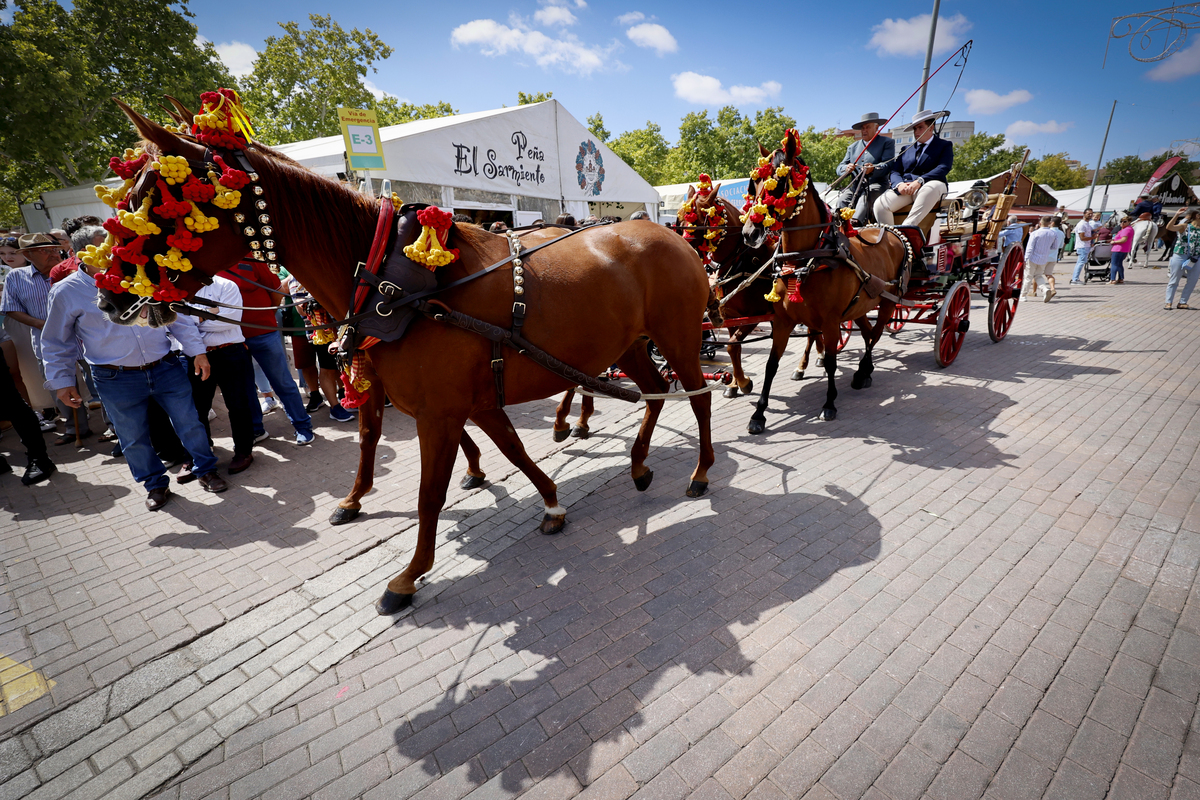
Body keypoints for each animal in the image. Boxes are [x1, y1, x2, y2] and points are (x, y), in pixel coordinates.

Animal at [105, 100, 710, 614]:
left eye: (156, 200)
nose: (110, 296)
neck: (391, 281)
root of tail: (668, 232)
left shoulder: (440, 411)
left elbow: (428, 495)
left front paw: (407, 576)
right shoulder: (455, 398)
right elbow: (499, 448)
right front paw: (549, 501)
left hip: (678, 337)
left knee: (697, 397)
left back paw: (700, 472)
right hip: (629, 343)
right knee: (654, 391)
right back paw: (638, 462)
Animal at [744, 131, 902, 431]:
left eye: (778, 183)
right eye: (754, 183)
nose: (749, 232)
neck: (807, 257)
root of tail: (889, 231)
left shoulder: (830, 321)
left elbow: (830, 362)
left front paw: (829, 403)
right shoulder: (783, 321)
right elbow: (771, 364)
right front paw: (758, 414)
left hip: (889, 302)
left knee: (875, 335)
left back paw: (863, 371)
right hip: (860, 306)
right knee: (867, 333)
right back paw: (865, 370)